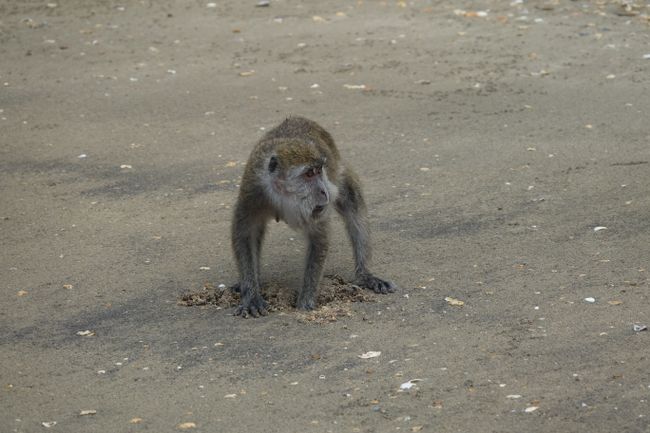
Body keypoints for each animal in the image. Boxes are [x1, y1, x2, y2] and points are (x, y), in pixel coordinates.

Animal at [232, 116, 394, 316]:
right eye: (309, 174)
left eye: (319, 171)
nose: (324, 191)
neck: (282, 195)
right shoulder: (253, 189)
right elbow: (246, 235)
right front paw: (251, 296)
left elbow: (318, 239)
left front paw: (306, 302)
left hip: (339, 173)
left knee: (353, 201)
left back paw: (365, 275)